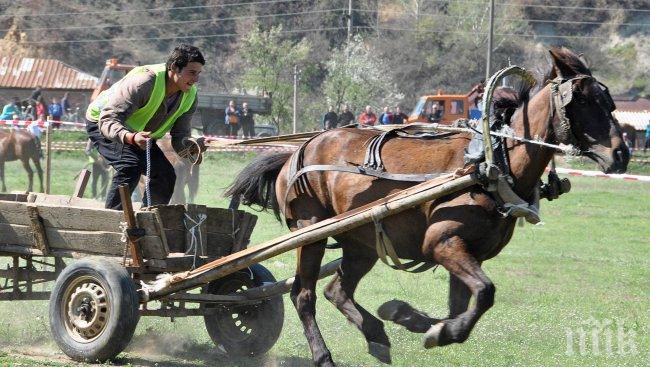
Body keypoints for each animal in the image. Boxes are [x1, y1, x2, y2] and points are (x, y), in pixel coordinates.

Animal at [224, 47, 628, 366]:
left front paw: (413, 318)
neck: (491, 164)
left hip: (360, 241)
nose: (621, 154)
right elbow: (485, 293)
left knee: (337, 289)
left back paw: (377, 334)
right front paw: (435, 330)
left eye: (609, 101)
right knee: (303, 294)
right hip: (311, 232)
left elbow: (463, 304)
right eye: (583, 101)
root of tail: (298, 151)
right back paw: (324, 355)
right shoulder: (443, 243)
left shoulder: (468, 253)